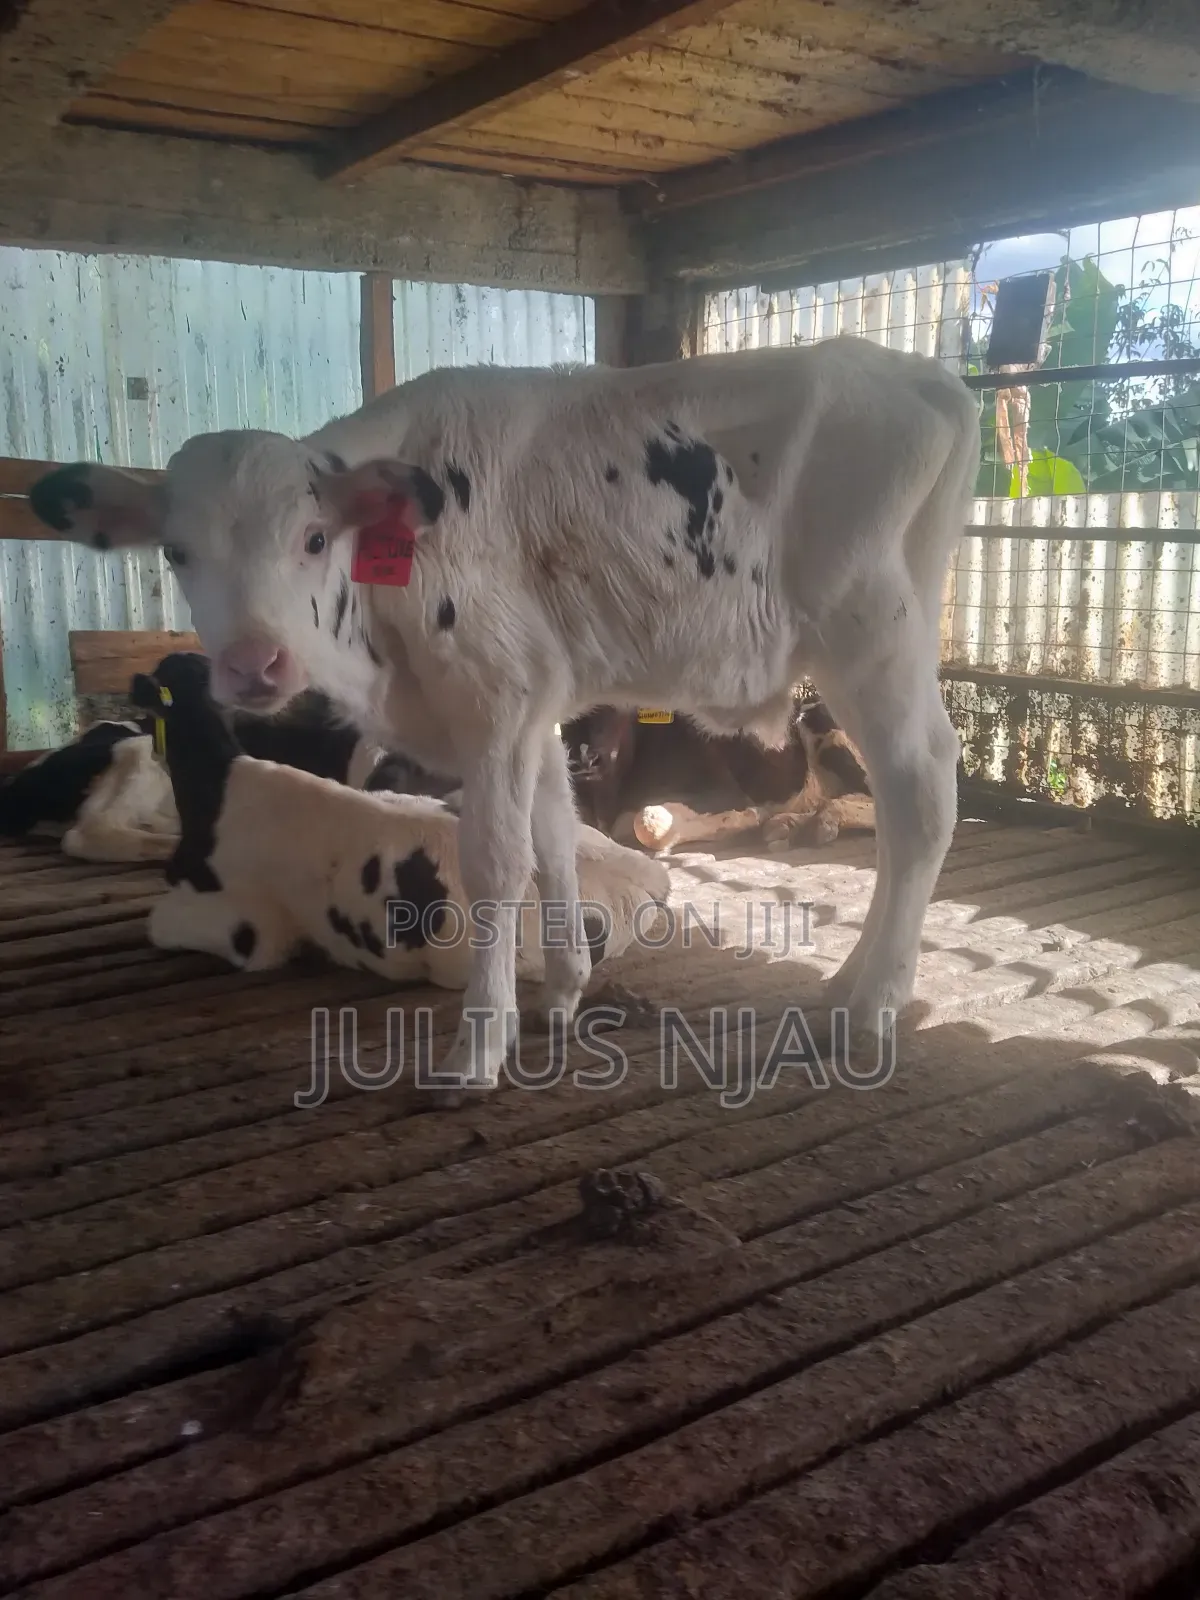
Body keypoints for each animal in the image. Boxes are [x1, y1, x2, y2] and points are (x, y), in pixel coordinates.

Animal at [27, 337, 980, 1098]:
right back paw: (848, 982)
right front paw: (561, 991)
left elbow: (497, 861)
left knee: (924, 794)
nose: (254, 665)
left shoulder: (498, 698)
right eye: (176, 552)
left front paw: (478, 1049)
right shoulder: (541, 705)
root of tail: (919, 373)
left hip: (871, 636)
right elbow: (554, 838)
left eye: (312, 539)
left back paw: (875, 1004)